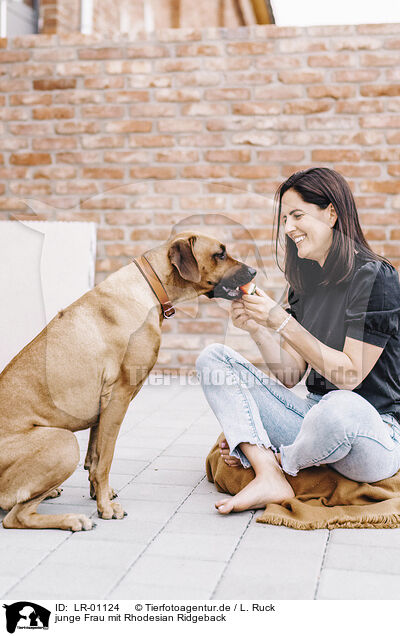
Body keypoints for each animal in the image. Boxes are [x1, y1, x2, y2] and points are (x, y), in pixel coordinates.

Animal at [0, 231, 256, 528]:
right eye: (220, 254)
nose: (254, 271)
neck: (150, 288)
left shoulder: (103, 406)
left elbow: (94, 456)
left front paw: (99, 495)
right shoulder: (118, 397)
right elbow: (105, 460)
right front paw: (105, 508)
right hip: (63, 444)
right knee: (16, 516)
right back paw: (73, 519)